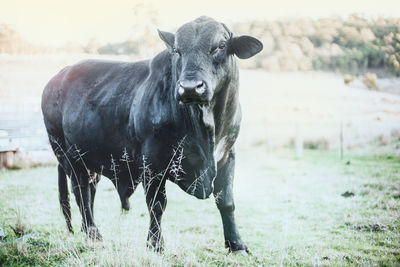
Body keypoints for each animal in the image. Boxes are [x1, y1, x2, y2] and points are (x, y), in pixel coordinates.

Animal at [40, 16, 262, 253]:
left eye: (220, 46)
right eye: (177, 50)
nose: (190, 88)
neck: (205, 127)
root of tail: (59, 77)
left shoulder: (227, 154)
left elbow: (226, 201)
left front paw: (236, 244)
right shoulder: (152, 161)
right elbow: (156, 204)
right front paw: (155, 244)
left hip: (90, 160)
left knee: (90, 192)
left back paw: (87, 230)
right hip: (69, 156)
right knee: (81, 192)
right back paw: (93, 234)